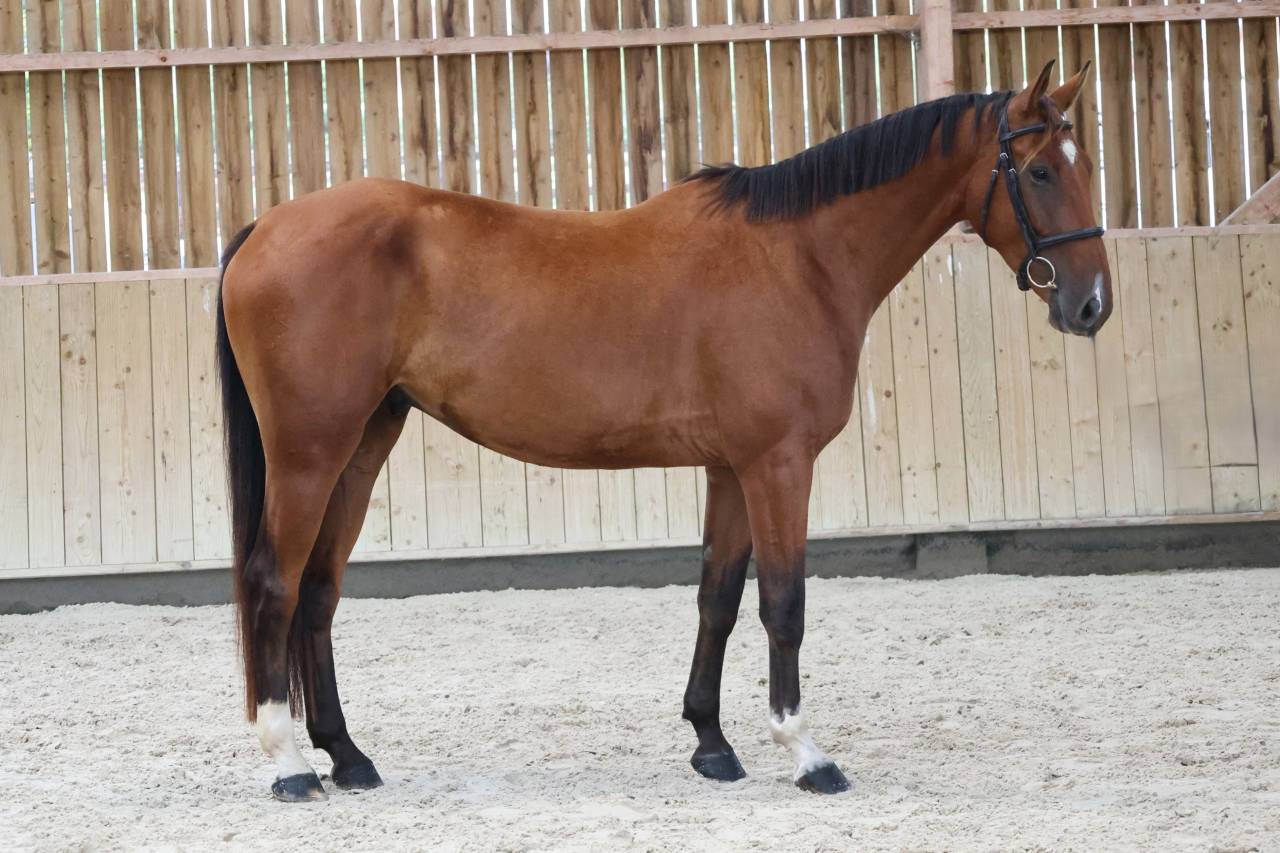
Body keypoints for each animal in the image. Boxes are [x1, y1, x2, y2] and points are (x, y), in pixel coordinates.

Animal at [216, 60, 1110, 801]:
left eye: (1085, 166)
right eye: (1038, 170)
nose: (1092, 305)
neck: (799, 259)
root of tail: (264, 228)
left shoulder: (730, 469)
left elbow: (717, 598)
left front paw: (712, 743)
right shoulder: (779, 464)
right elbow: (784, 603)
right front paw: (805, 752)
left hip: (363, 444)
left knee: (319, 592)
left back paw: (348, 755)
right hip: (309, 454)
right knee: (274, 582)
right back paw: (289, 764)